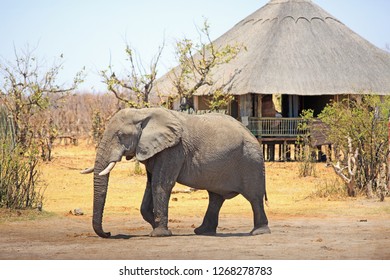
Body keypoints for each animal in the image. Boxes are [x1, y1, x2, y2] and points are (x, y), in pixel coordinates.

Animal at [81, 107, 272, 238]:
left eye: (121, 135)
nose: (109, 233)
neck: (143, 112)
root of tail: (252, 134)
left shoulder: (173, 150)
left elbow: (161, 184)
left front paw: (159, 233)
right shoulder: (155, 150)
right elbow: (150, 185)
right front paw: (156, 225)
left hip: (251, 160)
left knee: (254, 197)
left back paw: (259, 232)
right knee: (215, 198)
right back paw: (202, 231)